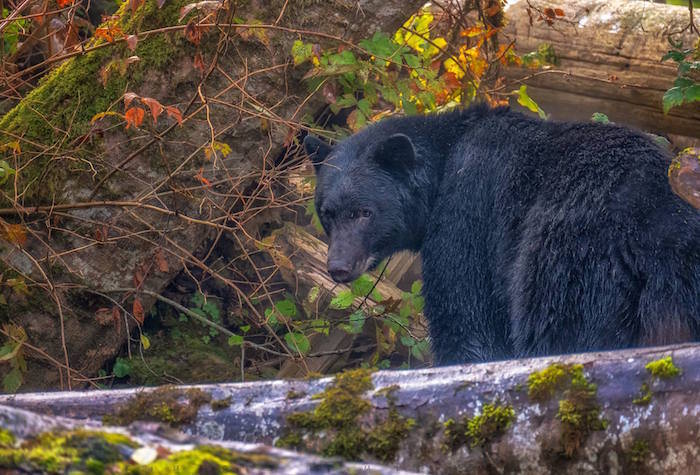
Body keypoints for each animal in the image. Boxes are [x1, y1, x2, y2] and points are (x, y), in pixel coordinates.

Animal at [304, 104, 700, 364]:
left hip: (571, 257)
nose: (338, 267)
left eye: (364, 212)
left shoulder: (467, 211)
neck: (444, 163)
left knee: (559, 325)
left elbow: (467, 315)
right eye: (327, 213)